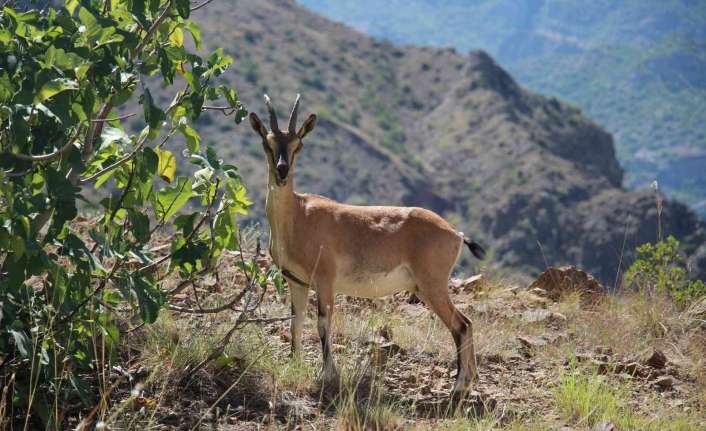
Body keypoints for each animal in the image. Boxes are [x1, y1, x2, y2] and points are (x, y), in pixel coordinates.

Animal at [248, 95, 484, 398]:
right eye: (267, 143)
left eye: (298, 144)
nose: (282, 171)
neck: (298, 215)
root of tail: (455, 233)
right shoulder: (296, 282)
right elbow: (295, 322)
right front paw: (293, 365)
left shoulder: (325, 281)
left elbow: (323, 323)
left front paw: (328, 375)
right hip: (425, 288)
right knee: (466, 324)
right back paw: (468, 382)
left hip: (433, 286)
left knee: (462, 325)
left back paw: (458, 387)